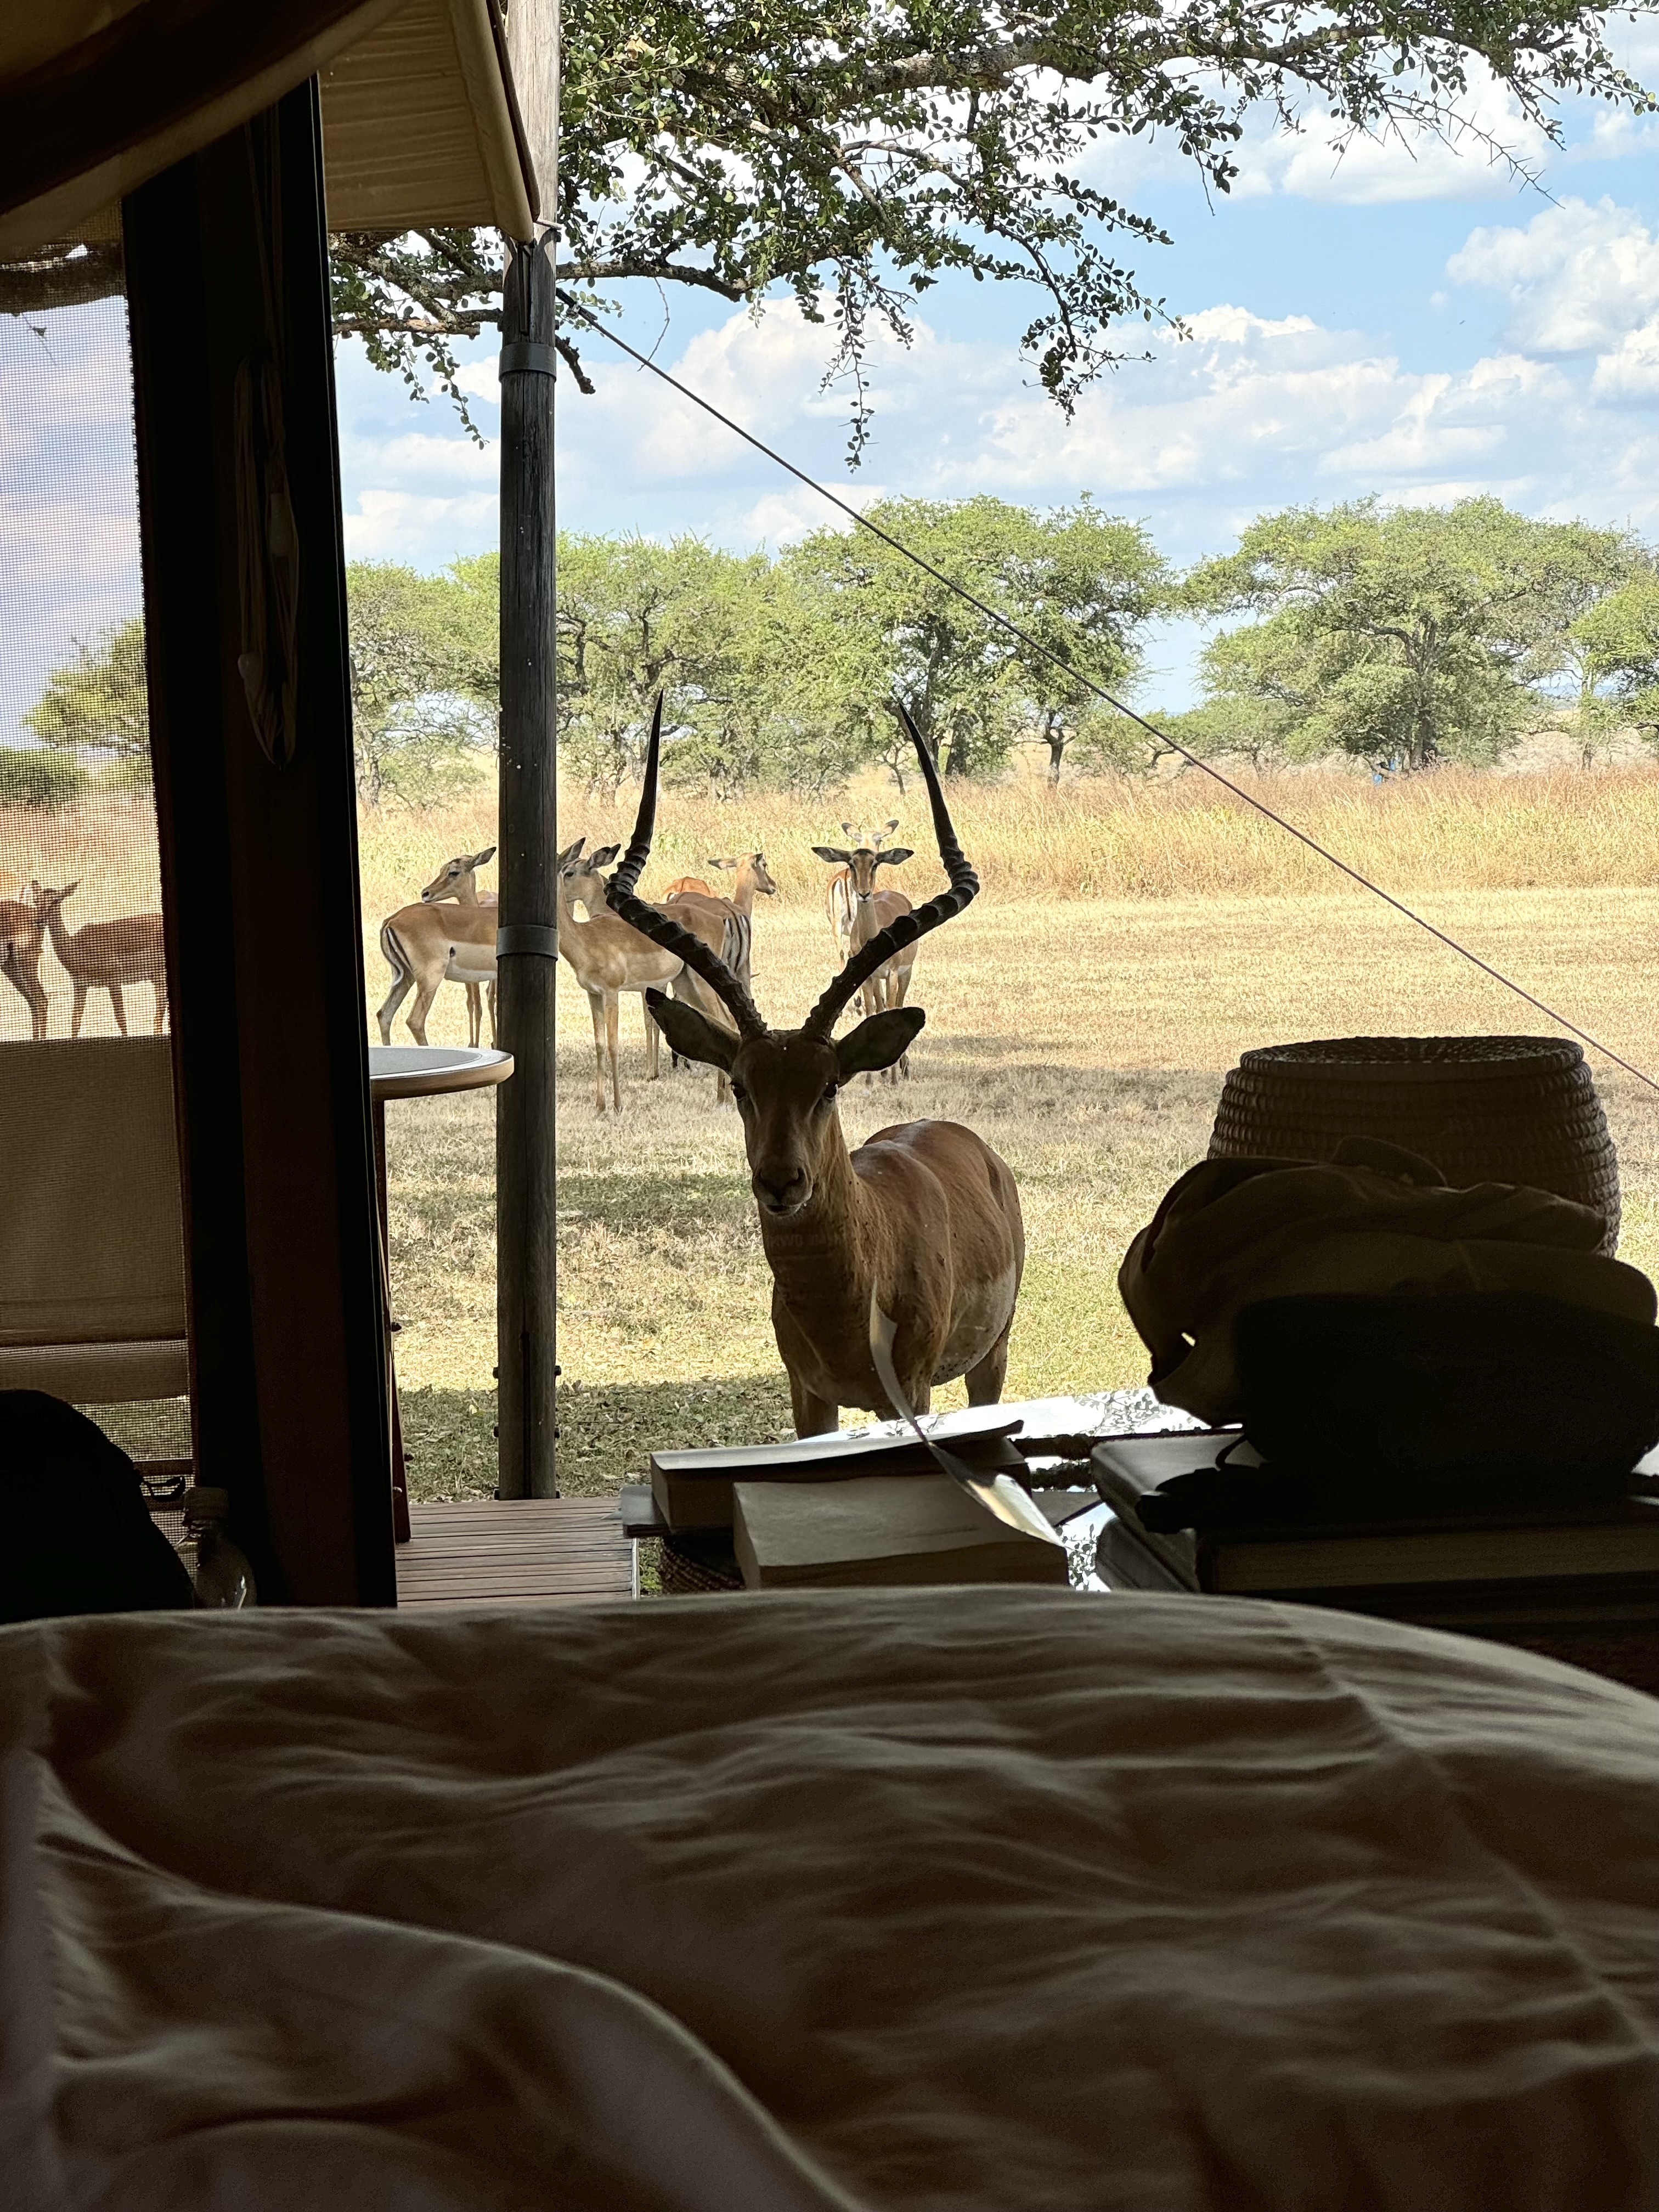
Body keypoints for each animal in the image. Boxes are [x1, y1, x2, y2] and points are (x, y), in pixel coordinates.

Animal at [30, 883, 166, 1038]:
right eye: (36, 900)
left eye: (56, 901)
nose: (39, 921)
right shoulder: (80, 985)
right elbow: (75, 1022)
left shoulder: (114, 979)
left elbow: (121, 1018)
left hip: (158, 974)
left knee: (160, 1010)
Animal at [376, 847, 498, 1047]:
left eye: (453, 872)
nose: (426, 893)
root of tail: (392, 920)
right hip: (430, 978)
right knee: (415, 1020)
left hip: (406, 978)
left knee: (384, 1015)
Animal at [608, 707, 1023, 1436]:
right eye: (741, 1085)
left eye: (830, 1085)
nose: (782, 1182)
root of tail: (955, 1134)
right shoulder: (808, 1395)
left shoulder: (910, 1393)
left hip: (990, 1357)